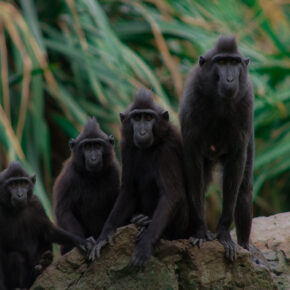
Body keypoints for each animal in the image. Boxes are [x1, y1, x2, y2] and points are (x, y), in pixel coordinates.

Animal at [54, 117, 120, 254]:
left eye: (98, 145)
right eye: (87, 147)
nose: (93, 158)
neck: (92, 177)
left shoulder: (114, 171)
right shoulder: (69, 176)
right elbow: (64, 210)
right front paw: (84, 242)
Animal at [88, 88, 190, 268]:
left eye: (148, 118)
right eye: (136, 118)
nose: (142, 132)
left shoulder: (167, 149)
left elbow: (171, 194)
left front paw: (145, 246)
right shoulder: (126, 146)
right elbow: (129, 190)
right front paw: (103, 236)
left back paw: (146, 224)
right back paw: (140, 219)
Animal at [179, 34, 254, 260]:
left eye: (234, 63)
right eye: (221, 62)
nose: (229, 79)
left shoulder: (246, 103)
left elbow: (237, 163)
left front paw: (223, 234)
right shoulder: (192, 101)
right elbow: (193, 164)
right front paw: (200, 231)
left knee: (244, 187)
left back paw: (245, 246)